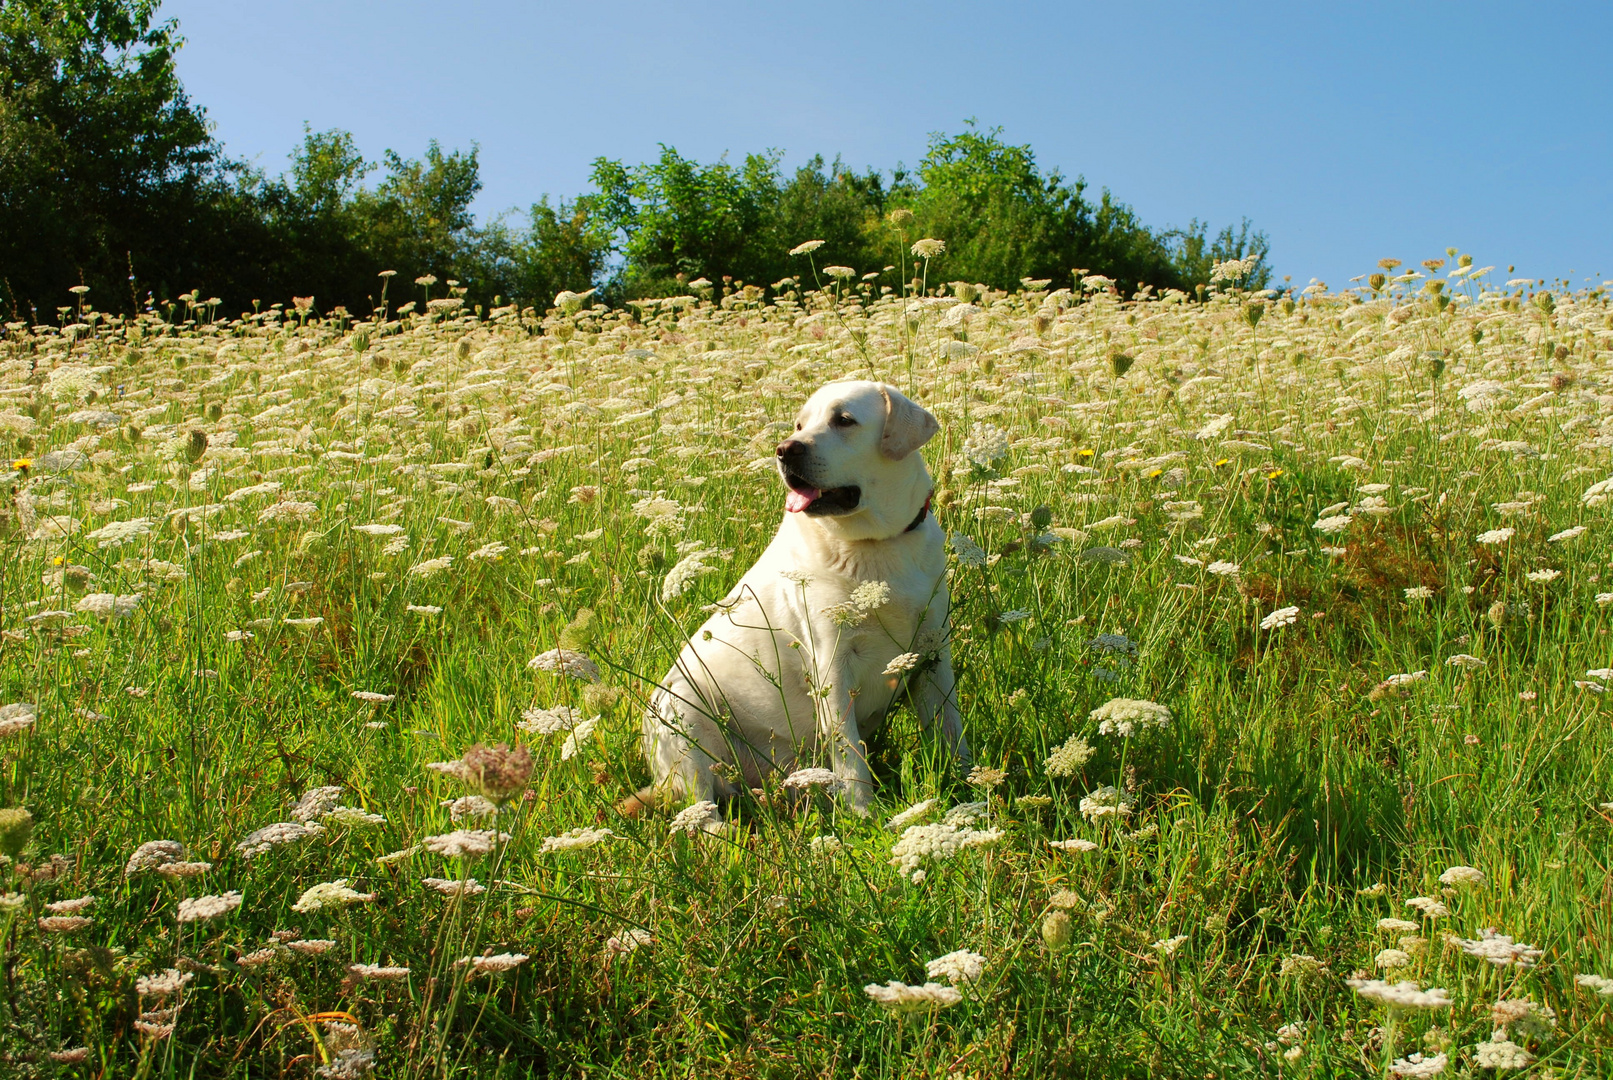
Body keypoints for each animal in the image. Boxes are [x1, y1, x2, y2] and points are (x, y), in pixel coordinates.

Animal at [622, 383, 961, 822]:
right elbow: (849, 754)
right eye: (800, 424)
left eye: (844, 420)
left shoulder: (933, 652)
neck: (874, 546)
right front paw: (864, 816)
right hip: (683, 716)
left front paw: (968, 784)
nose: (784, 449)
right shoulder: (832, 665)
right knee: (702, 809)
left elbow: (950, 727)